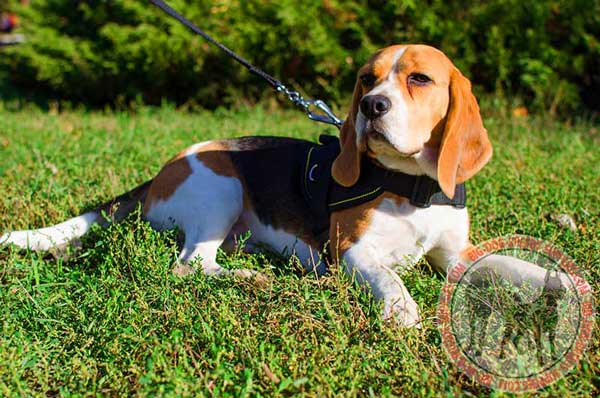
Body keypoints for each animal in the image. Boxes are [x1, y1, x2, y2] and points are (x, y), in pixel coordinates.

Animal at [1, 45, 564, 326]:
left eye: (419, 79)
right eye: (366, 79)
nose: (371, 106)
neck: (413, 188)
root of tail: (158, 173)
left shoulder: (456, 256)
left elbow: (512, 266)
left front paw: (562, 283)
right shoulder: (352, 249)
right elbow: (390, 276)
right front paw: (401, 308)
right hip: (221, 187)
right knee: (189, 265)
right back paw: (254, 278)